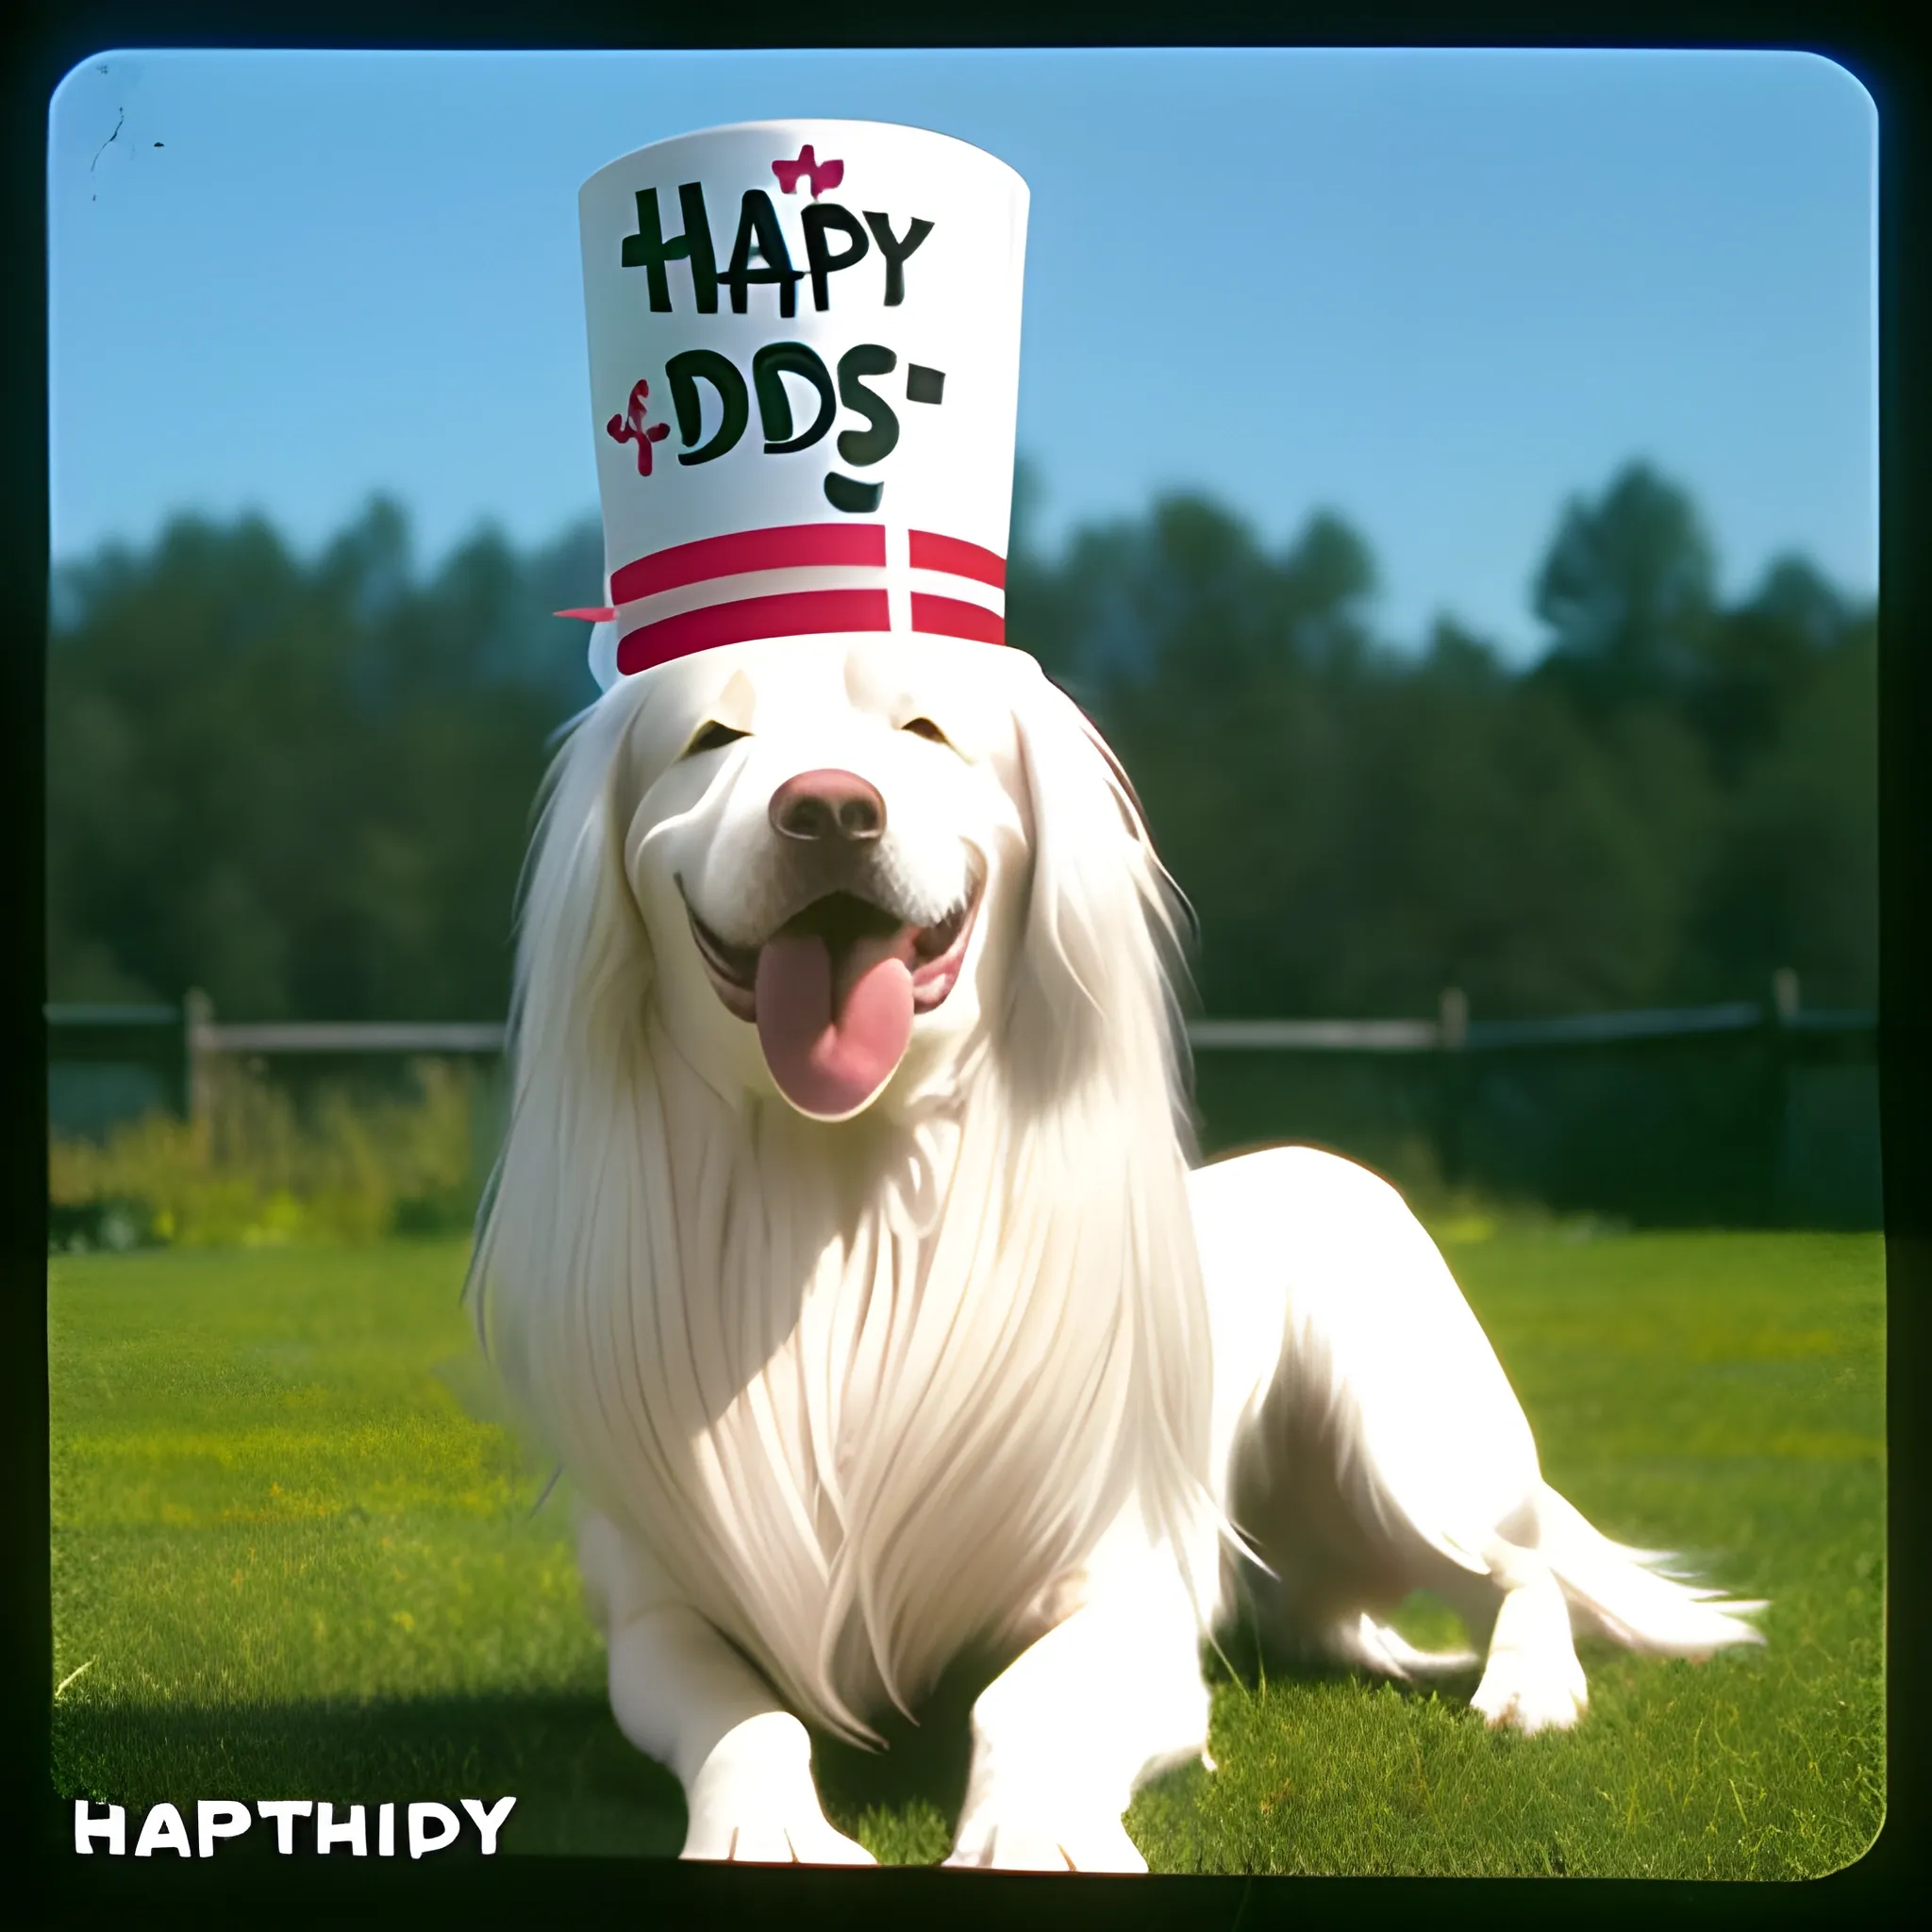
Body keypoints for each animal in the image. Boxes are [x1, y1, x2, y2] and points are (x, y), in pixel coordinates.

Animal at [471, 633, 1769, 1870]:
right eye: (713, 736)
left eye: (926, 729)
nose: (830, 808)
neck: (842, 1208)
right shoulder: (659, 1615)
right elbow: (751, 1720)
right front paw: (767, 1829)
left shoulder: (1128, 1596)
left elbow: (1022, 1698)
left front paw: (1033, 1833)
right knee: (1347, 1625)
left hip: (1404, 1455)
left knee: (1518, 1569)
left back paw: (1525, 1689)